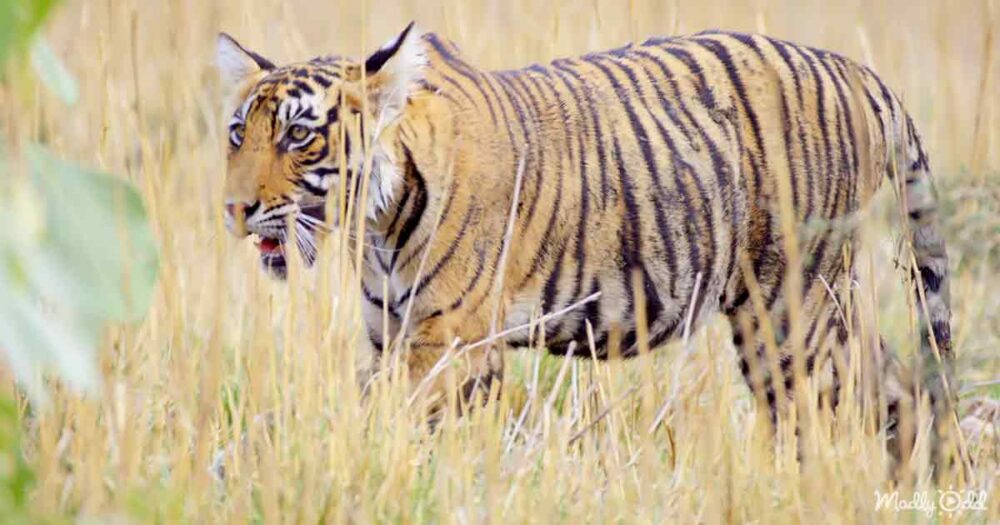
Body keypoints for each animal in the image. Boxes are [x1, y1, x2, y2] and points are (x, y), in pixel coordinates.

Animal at [216, 23, 958, 468]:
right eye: (238, 133)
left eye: (298, 135)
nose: (235, 209)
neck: (377, 224)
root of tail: (859, 72)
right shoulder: (387, 336)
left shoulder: (445, 346)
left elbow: (403, 429)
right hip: (819, 310)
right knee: (896, 386)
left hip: (789, 308)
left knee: (817, 413)